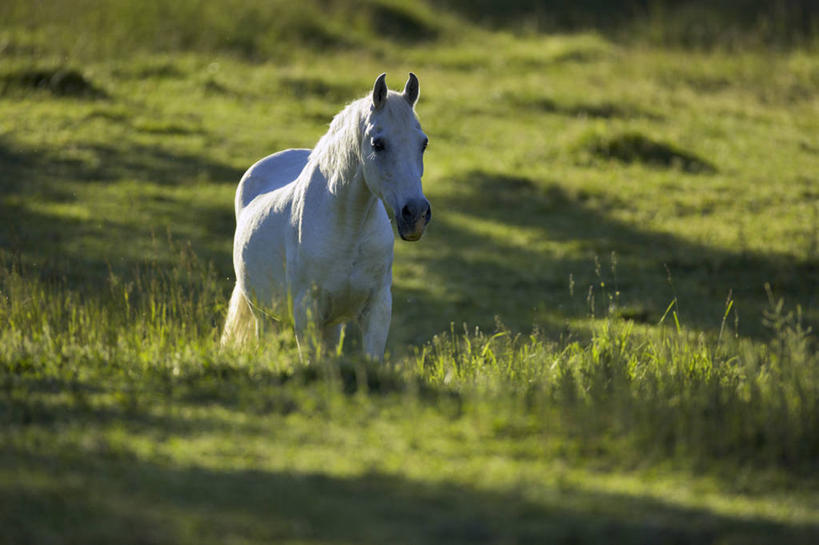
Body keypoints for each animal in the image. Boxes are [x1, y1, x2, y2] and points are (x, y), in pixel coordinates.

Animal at [221, 74, 432, 360]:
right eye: (378, 144)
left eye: (423, 143)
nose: (416, 214)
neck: (349, 232)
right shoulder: (306, 313)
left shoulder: (377, 310)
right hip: (264, 315)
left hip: (331, 326)